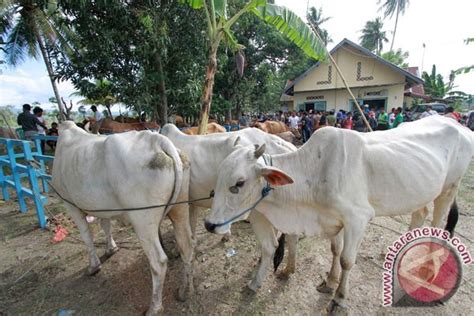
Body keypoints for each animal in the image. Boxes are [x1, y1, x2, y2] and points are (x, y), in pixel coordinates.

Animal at [54, 122, 195, 314]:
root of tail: (157, 140)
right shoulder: (103, 208)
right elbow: (106, 226)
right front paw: (111, 249)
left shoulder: (70, 204)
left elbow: (87, 236)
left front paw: (93, 267)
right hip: (180, 209)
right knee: (186, 246)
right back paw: (185, 290)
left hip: (143, 220)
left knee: (158, 262)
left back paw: (155, 307)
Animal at [206, 116, 472, 314]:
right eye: (218, 177)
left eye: (239, 183)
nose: (209, 224)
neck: (314, 173)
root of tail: (459, 125)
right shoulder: (333, 219)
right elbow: (335, 250)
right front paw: (330, 283)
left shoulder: (357, 219)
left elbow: (346, 260)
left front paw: (339, 298)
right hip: (421, 192)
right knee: (420, 213)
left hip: (449, 188)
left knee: (437, 223)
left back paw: (428, 267)